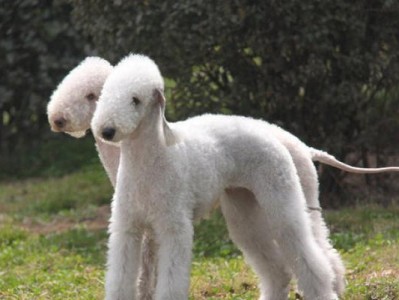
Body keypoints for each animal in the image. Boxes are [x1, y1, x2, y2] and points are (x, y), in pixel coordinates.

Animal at [93, 54, 340, 300]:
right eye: (104, 94)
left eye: (135, 100)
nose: (106, 131)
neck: (150, 161)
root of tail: (273, 134)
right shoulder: (127, 227)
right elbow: (120, 277)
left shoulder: (174, 228)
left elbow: (172, 281)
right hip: (243, 208)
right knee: (275, 268)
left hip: (280, 199)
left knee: (307, 255)